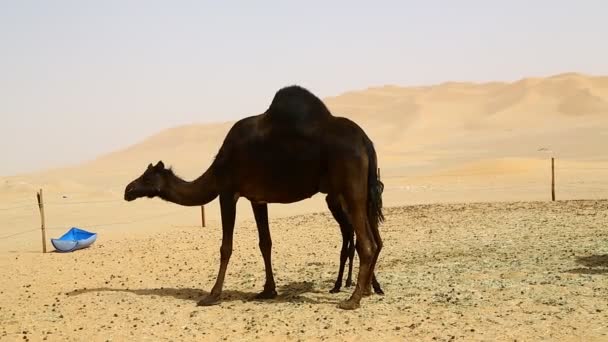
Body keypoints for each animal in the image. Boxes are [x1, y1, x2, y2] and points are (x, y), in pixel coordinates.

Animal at [123, 85, 384, 310]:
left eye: (147, 177)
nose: (128, 190)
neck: (218, 168)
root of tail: (365, 140)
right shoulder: (258, 198)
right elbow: (265, 243)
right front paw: (268, 291)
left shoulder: (228, 192)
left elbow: (225, 247)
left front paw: (212, 295)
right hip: (359, 192)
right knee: (372, 239)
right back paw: (367, 291)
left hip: (350, 187)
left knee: (366, 243)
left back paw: (352, 300)